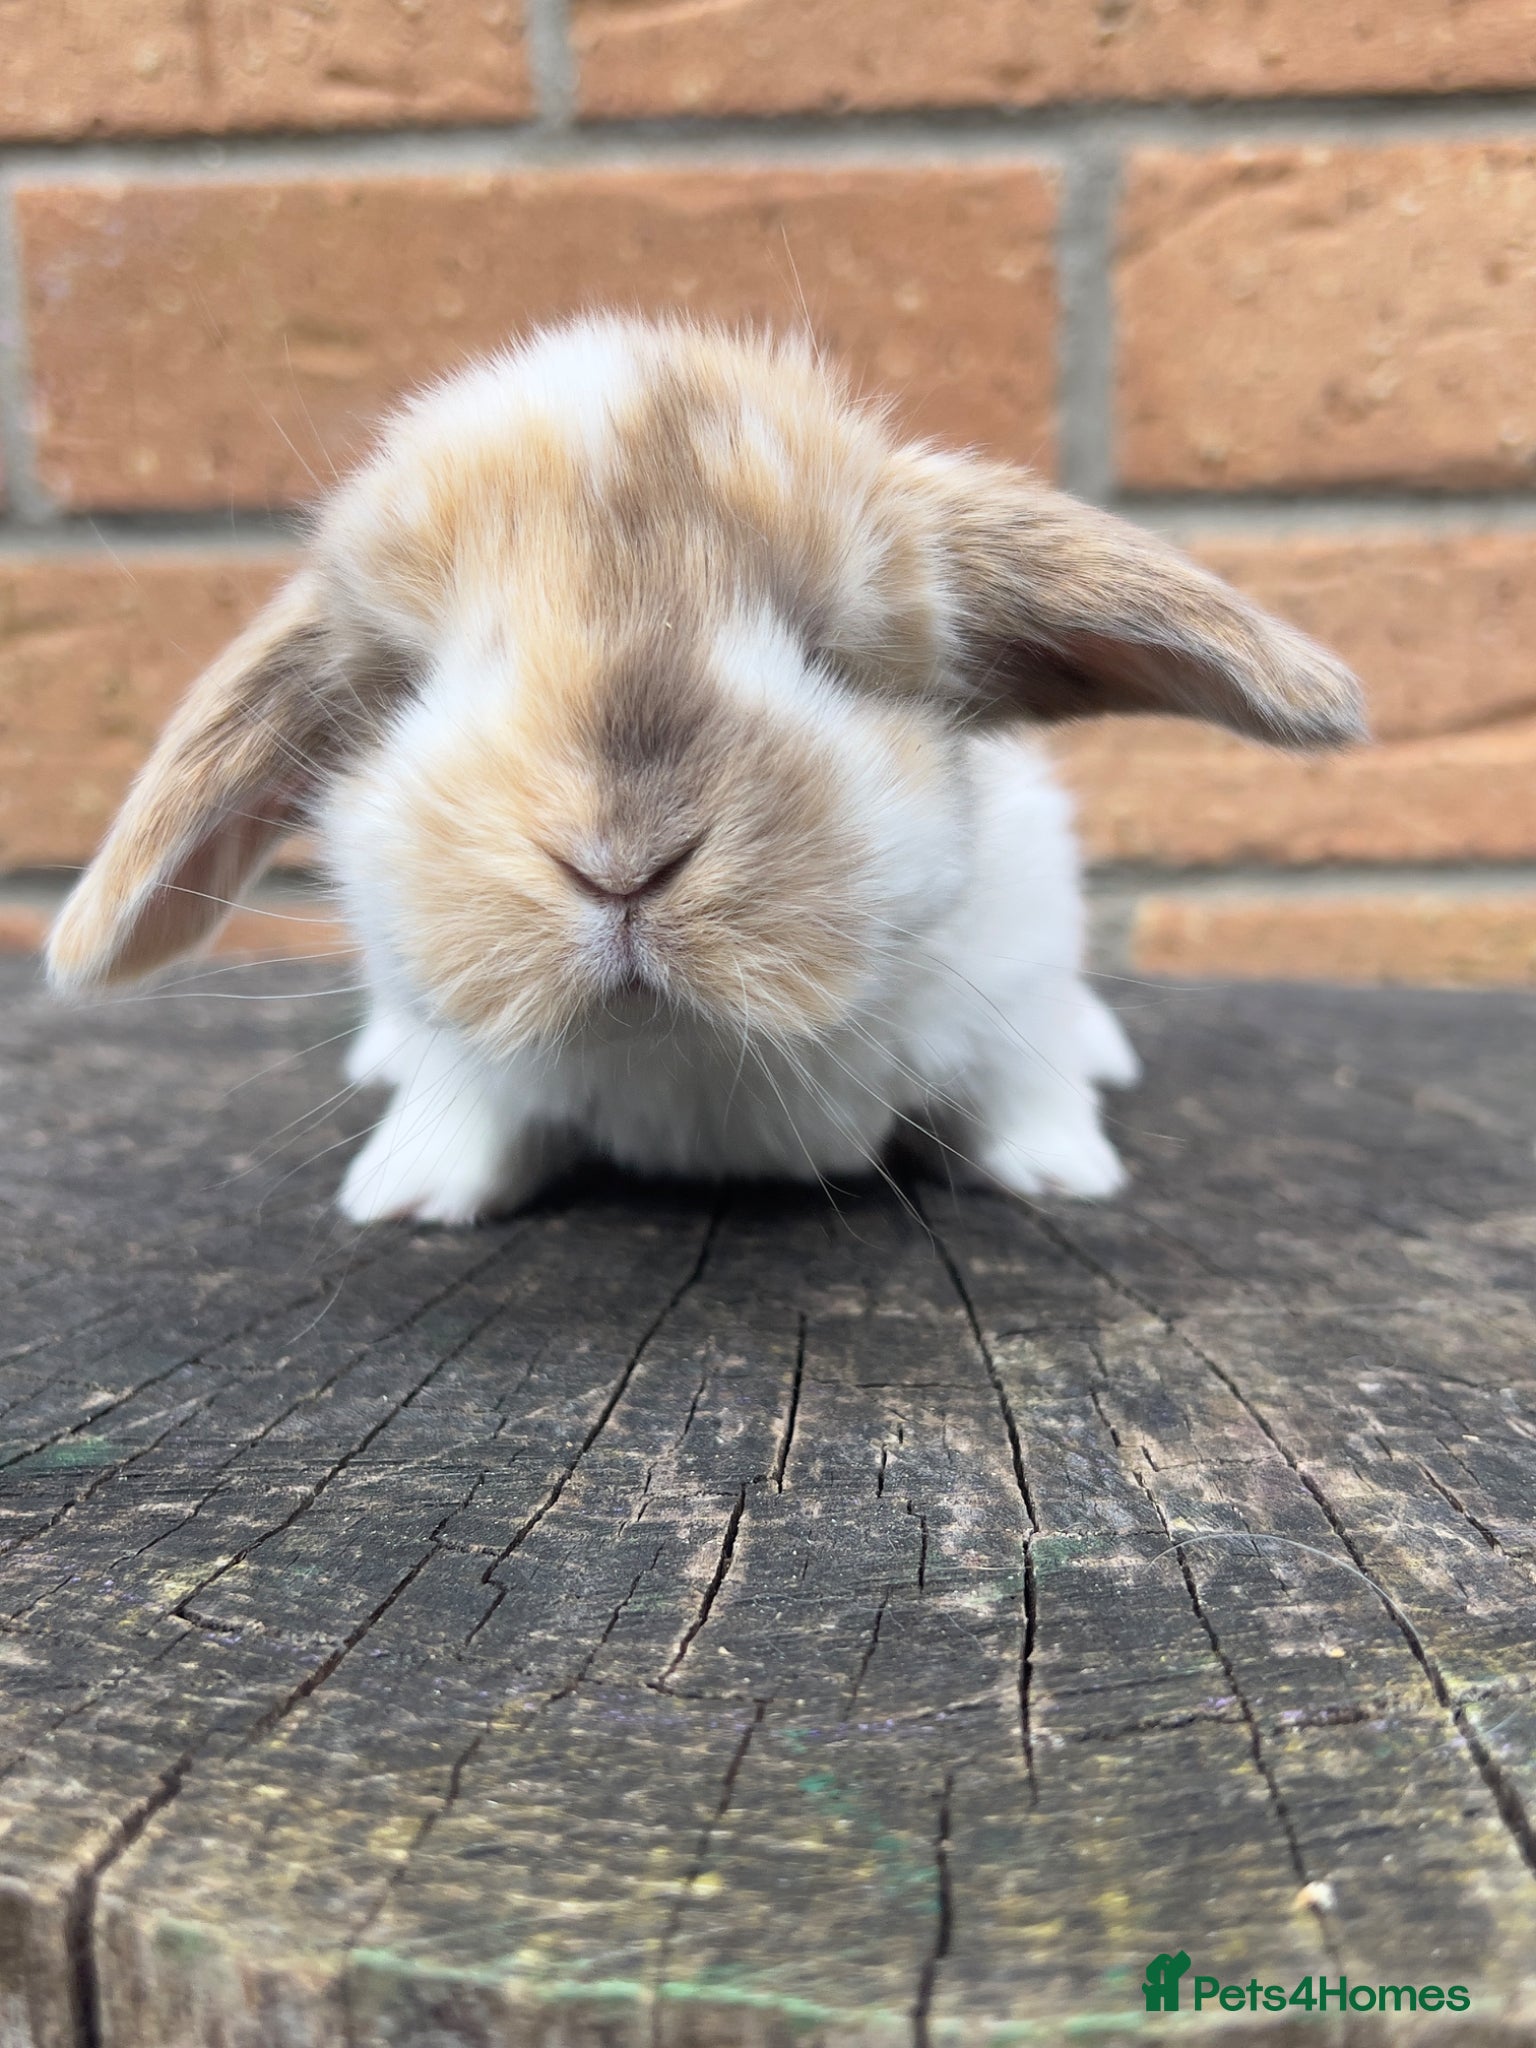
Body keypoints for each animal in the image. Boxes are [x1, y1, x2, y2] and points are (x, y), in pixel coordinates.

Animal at [46, 316, 1365, 1225]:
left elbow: (1021, 1083)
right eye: (413, 681)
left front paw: (1065, 1171)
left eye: (830, 652)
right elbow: (463, 1104)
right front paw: (406, 1189)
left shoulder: (1017, 970)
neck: (691, 1056)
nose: (623, 861)